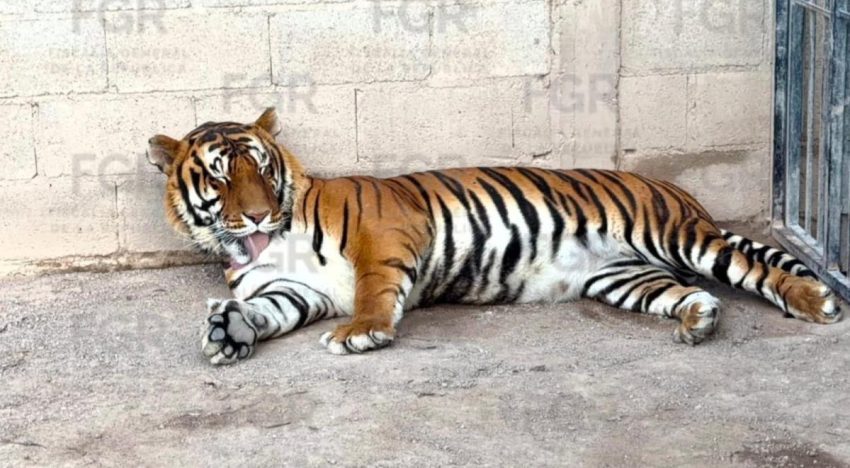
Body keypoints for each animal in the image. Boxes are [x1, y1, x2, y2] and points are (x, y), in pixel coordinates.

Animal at [147, 107, 842, 365]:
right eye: (221, 175)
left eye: (262, 169)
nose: (259, 216)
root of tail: (675, 189)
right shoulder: (295, 290)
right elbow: (265, 311)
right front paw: (228, 331)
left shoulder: (386, 233)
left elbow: (373, 288)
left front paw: (362, 331)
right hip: (626, 277)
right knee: (691, 293)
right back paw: (699, 321)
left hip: (677, 236)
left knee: (752, 267)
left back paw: (818, 302)